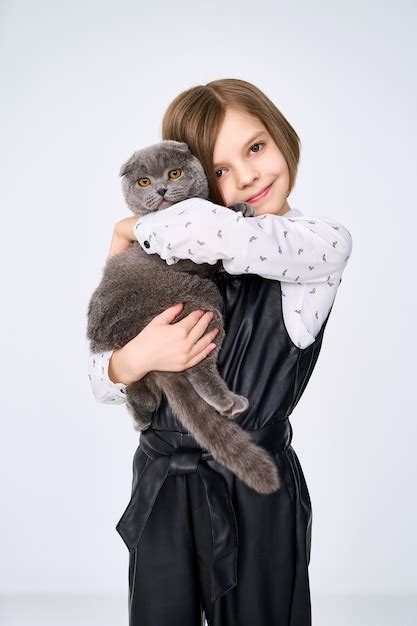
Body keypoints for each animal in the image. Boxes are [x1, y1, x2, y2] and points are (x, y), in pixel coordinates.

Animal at [86, 140, 282, 492]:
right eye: (144, 181)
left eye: (174, 173)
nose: (162, 189)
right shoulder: (190, 259)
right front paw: (238, 207)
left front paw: (240, 206)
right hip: (200, 300)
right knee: (198, 369)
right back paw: (227, 401)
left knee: (141, 384)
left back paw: (142, 413)